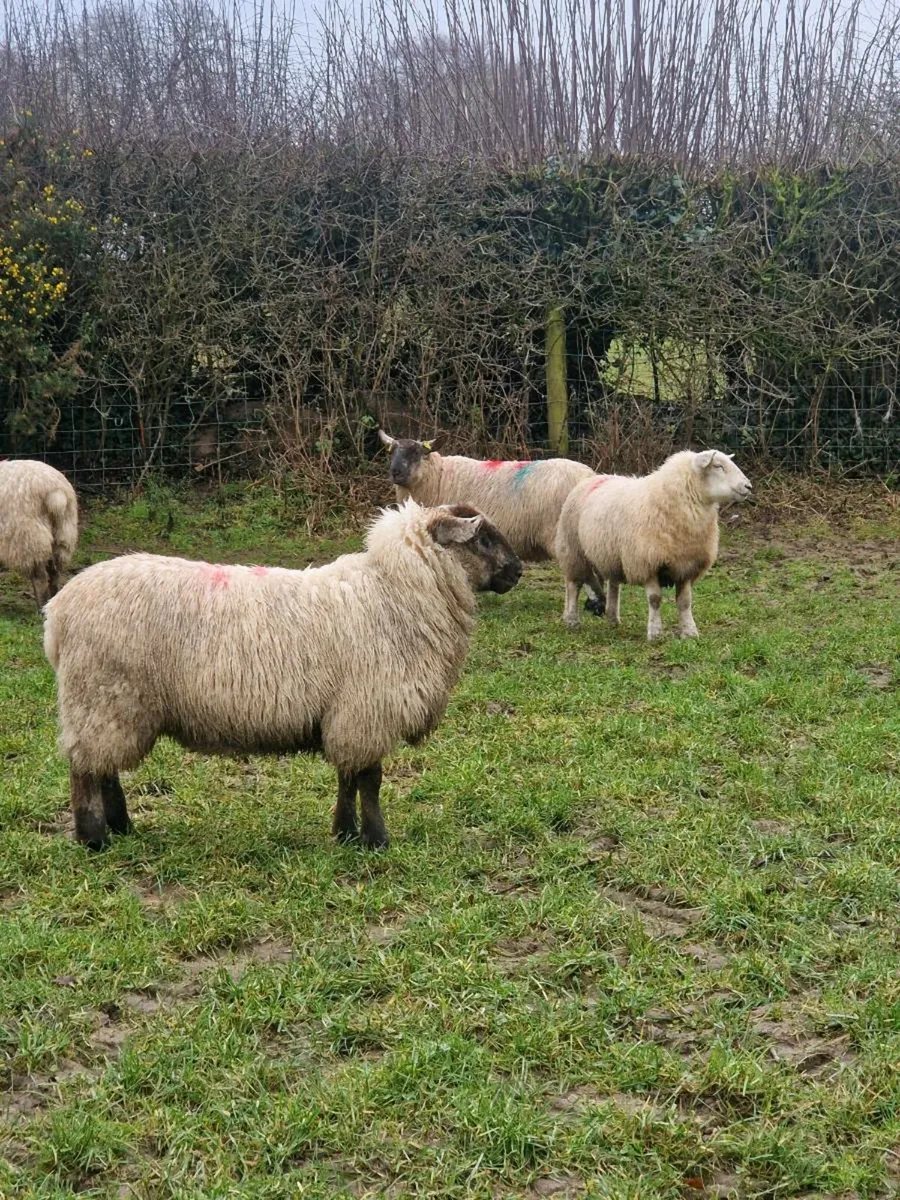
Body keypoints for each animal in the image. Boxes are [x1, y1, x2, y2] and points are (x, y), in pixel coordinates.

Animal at [0, 459, 78, 609]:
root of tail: (55, 491)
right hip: (64, 533)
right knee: (55, 573)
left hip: (28, 536)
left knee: (40, 577)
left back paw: (41, 606)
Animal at [43, 500, 522, 852]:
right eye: (482, 538)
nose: (518, 571)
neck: (394, 592)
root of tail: (58, 613)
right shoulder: (368, 710)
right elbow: (370, 780)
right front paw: (376, 840)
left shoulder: (346, 713)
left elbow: (348, 777)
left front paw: (345, 833)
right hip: (103, 694)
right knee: (85, 770)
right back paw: (94, 838)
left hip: (109, 703)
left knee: (104, 767)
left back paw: (121, 825)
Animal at [378, 429, 605, 615]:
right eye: (391, 453)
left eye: (416, 453)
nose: (395, 472)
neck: (438, 476)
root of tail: (589, 477)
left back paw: (596, 605)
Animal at [554, 449, 752, 640]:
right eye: (718, 466)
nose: (748, 486)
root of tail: (592, 478)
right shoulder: (647, 563)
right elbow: (655, 600)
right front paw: (655, 633)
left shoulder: (685, 565)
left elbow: (685, 602)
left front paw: (690, 632)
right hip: (574, 550)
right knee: (574, 585)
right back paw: (572, 620)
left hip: (613, 555)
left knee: (614, 585)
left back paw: (613, 619)